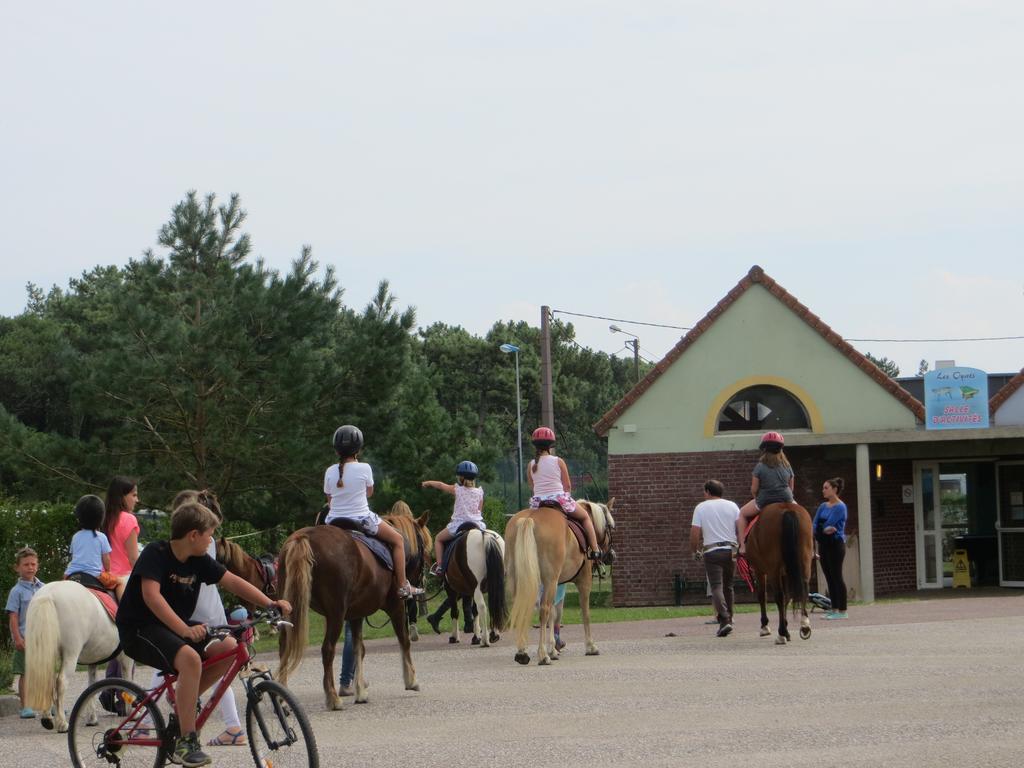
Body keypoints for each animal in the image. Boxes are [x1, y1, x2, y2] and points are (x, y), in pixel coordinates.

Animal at [274, 524, 417, 708]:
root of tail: (305, 536)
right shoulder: (396, 606)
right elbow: (404, 640)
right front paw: (411, 680)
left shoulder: (356, 615)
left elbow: (358, 649)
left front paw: (360, 692)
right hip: (336, 614)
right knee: (327, 649)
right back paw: (333, 698)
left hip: (287, 607)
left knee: (285, 646)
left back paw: (282, 697)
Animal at [505, 499, 614, 667]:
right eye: (611, 527)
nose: (611, 555)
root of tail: (529, 519)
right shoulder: (583, 581)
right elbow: (585, 613)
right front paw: (590, 646)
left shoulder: (555, 583)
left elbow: (554, 613)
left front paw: (552, 649)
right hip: (550, 579)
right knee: (543, 610)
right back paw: (542, 656)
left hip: (519, 578)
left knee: (522, 608)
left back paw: (522, 652)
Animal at [745, 501, 815, 647]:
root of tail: (787, 509)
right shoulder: (785, 572)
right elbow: (788, 597)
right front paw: (787, 627)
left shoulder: (760, 571)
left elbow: (763, 596)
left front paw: (765, 626)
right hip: (805, 561)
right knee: (803, 589)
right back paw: (804, 625)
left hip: (773, 568)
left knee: (779, 596)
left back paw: (782, 634)